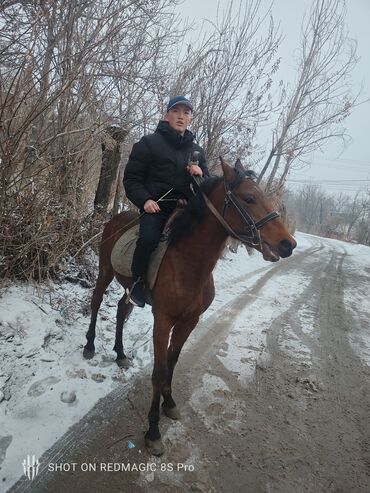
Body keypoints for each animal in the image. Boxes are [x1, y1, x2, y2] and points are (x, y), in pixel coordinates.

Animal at [82, 158, 296, 454]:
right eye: (249, 198)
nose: (288, 244)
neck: (189, 262)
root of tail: (115, 219)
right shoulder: (163, 320)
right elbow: (159, 372)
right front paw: (153, 430)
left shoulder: (189, 321)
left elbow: (173, 361)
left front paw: (169, 404)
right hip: (105, 271)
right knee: (96, 302)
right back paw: (90, 346)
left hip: (127, 288)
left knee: (121, 309)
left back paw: (121, 353)